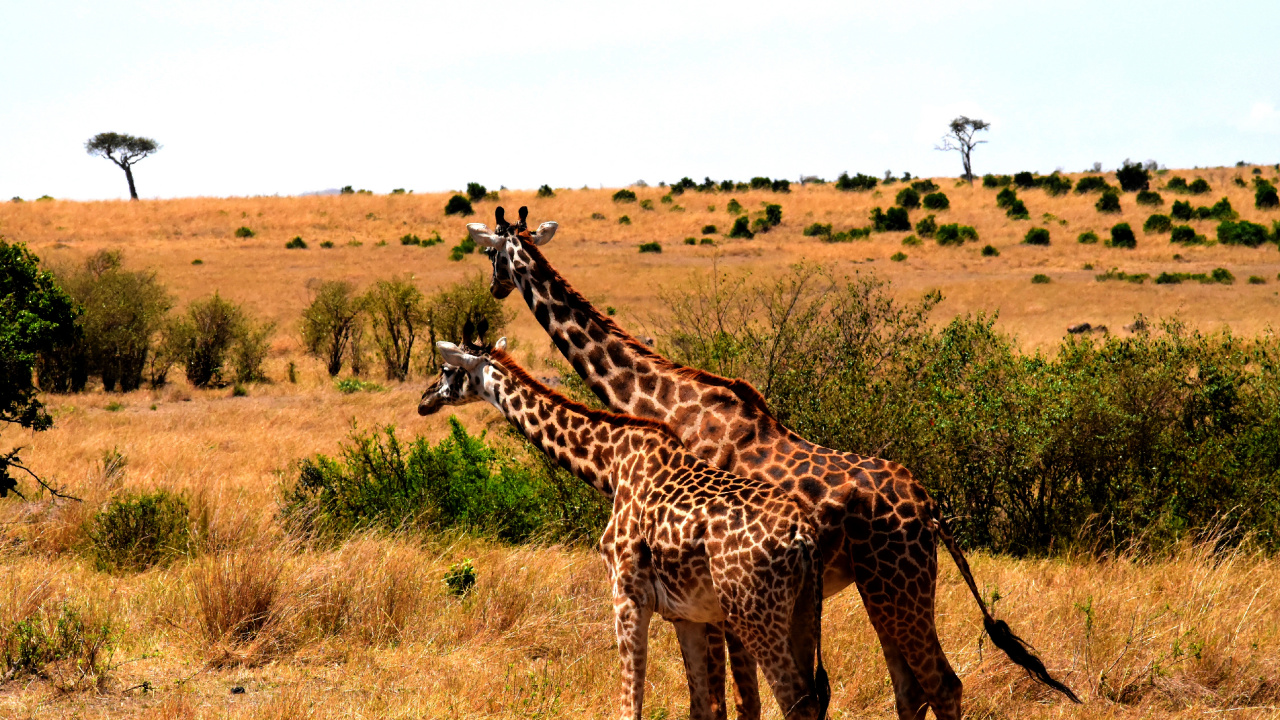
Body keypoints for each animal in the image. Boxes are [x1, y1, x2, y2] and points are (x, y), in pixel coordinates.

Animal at [418, 338, 831, 720]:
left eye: (446, 369)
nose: (424, 400)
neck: (611, 465)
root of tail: (803, 536)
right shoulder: (686, 614)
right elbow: (700, 706)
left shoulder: (627, 596)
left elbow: (630, 706)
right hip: (799, 613)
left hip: (753, 614)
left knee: (798, 702)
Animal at [461, 207, 1081, 720]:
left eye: (490, 254)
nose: (493, 289)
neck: (666, 403)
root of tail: (929, 507)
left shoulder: (714, 598)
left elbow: (736, 702)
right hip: (887, 588)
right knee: (911, 689)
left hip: (893, 584)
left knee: (941, 685)